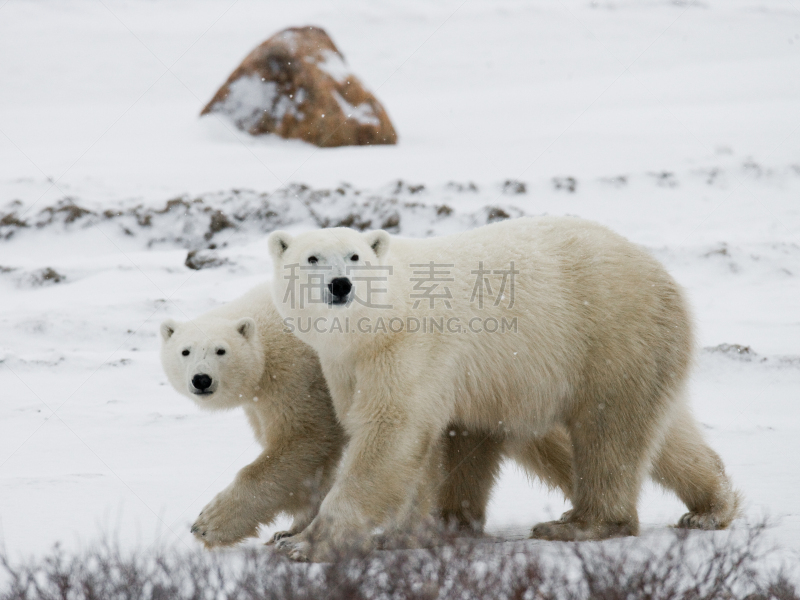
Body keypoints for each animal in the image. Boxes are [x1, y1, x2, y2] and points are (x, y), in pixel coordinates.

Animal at [268, 217, 736, 564]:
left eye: (355, 256)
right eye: (311, 257)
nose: (341, 284)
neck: (376, 328)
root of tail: (662, 275)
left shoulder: (409, 351)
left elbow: (389, 434)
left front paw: (304, 543)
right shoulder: (350, 368)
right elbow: (424, 444)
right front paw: (408, 532)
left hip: (611, 335)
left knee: (609, 431)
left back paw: (580, 524)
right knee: (660, 433)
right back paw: (711, 507)